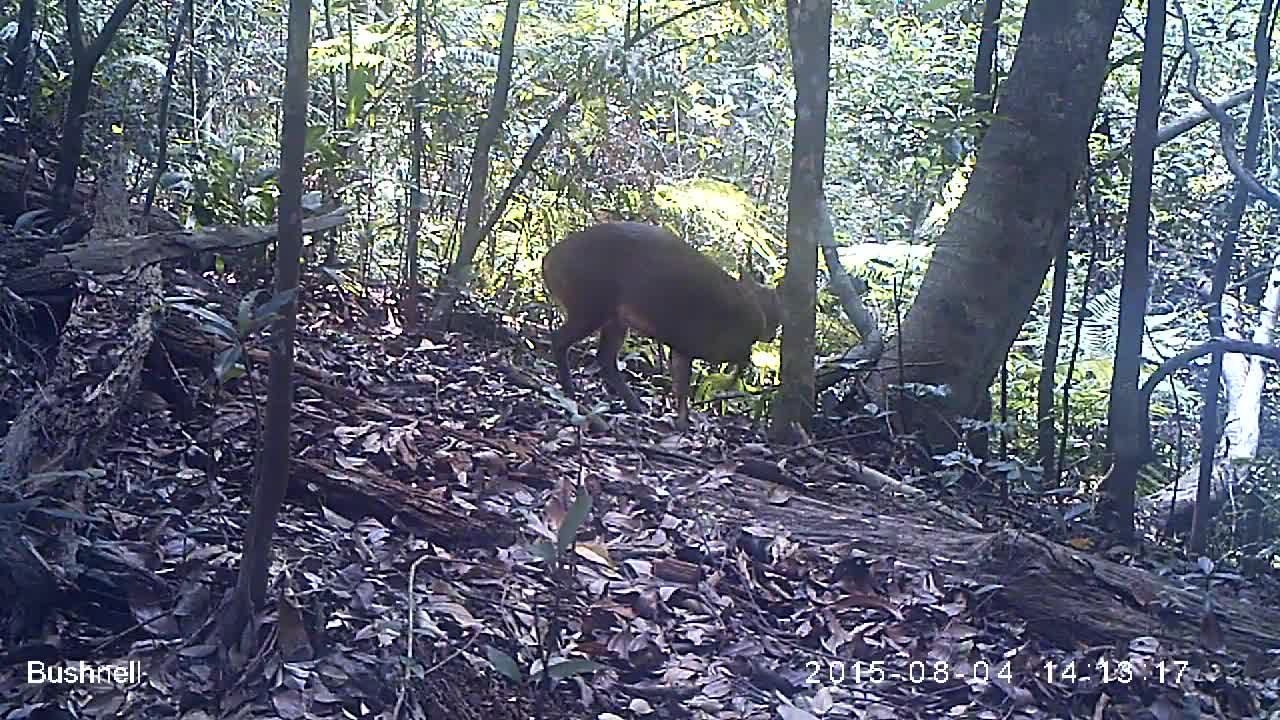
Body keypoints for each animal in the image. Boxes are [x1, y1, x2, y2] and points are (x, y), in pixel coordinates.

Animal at [540, 221, 778, 427]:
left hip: (614, 317)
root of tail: (548, 260)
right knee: (560, 340)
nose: (772, 335)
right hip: (590, 306)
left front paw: (682, 421)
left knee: (605, 358)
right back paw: (571, 393)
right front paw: (723, 388)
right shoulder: (710, 345)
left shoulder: (684, 347)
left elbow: (681, 385)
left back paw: (634, 405)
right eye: (777, 312)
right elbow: (740, 362)